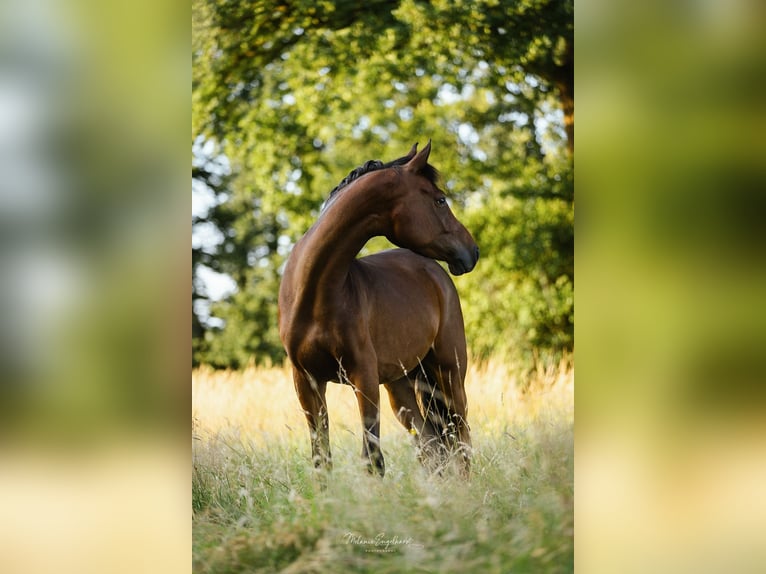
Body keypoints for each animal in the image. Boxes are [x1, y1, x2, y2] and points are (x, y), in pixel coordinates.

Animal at [276, 142, 480, 480]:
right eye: (439, 200)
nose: (473, 251)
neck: (315, 293)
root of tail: (434, 273)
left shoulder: (364, 377)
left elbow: (372, 460)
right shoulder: (306, 381)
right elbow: (322, 459)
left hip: (449, 371)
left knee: (460, 435)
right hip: (401, 385)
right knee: (431, 446)